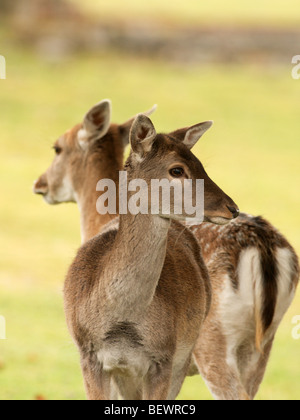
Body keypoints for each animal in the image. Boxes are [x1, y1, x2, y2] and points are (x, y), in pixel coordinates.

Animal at [63, 115, 239, 400]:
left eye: (200, 164)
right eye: (177, 170)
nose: (232, 208)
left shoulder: (165, 357)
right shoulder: (88, 353)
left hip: (185, 355)